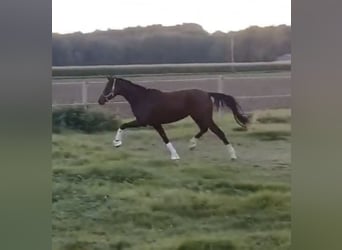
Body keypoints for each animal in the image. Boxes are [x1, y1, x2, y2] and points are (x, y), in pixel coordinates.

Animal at [97, 75, 250, 160]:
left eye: (108, 87)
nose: (100, 100)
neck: (142, 98)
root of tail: (207, 93)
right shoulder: (155, 123)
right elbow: (165, 138)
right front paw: (175, 156)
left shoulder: (143, 121)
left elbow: (122, 125)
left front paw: (117, 143)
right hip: (198, 117)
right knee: (204, 129)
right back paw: (192, 145)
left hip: (203, 117)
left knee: (218, 132)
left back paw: (233, 156)